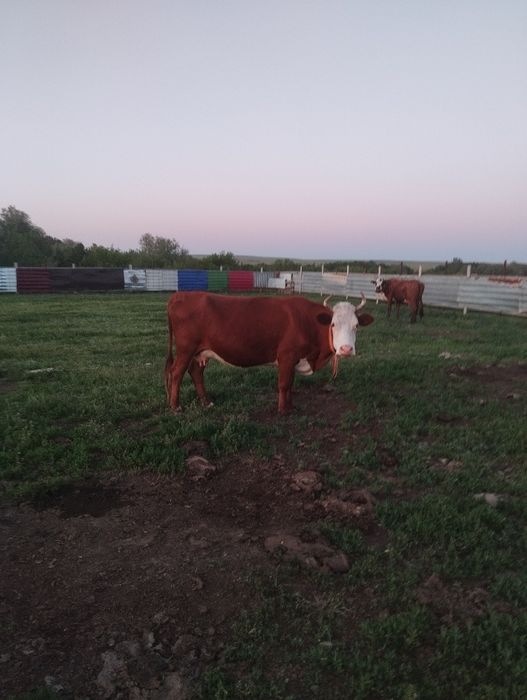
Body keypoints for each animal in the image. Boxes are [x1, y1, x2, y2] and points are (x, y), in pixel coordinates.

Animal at [164, 291, 374, 414]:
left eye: (356, 325)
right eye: (333, 324)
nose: (346, 349)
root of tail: (180, 295)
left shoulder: (294, 359)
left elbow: (290, 384)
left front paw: (291, 406)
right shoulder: (286, 355)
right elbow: (283, 384)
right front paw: (282, 410)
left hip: (200, 352)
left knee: (195, 372)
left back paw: (206, 402)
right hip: (186, 349)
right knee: (176, 373)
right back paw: (175, 406)